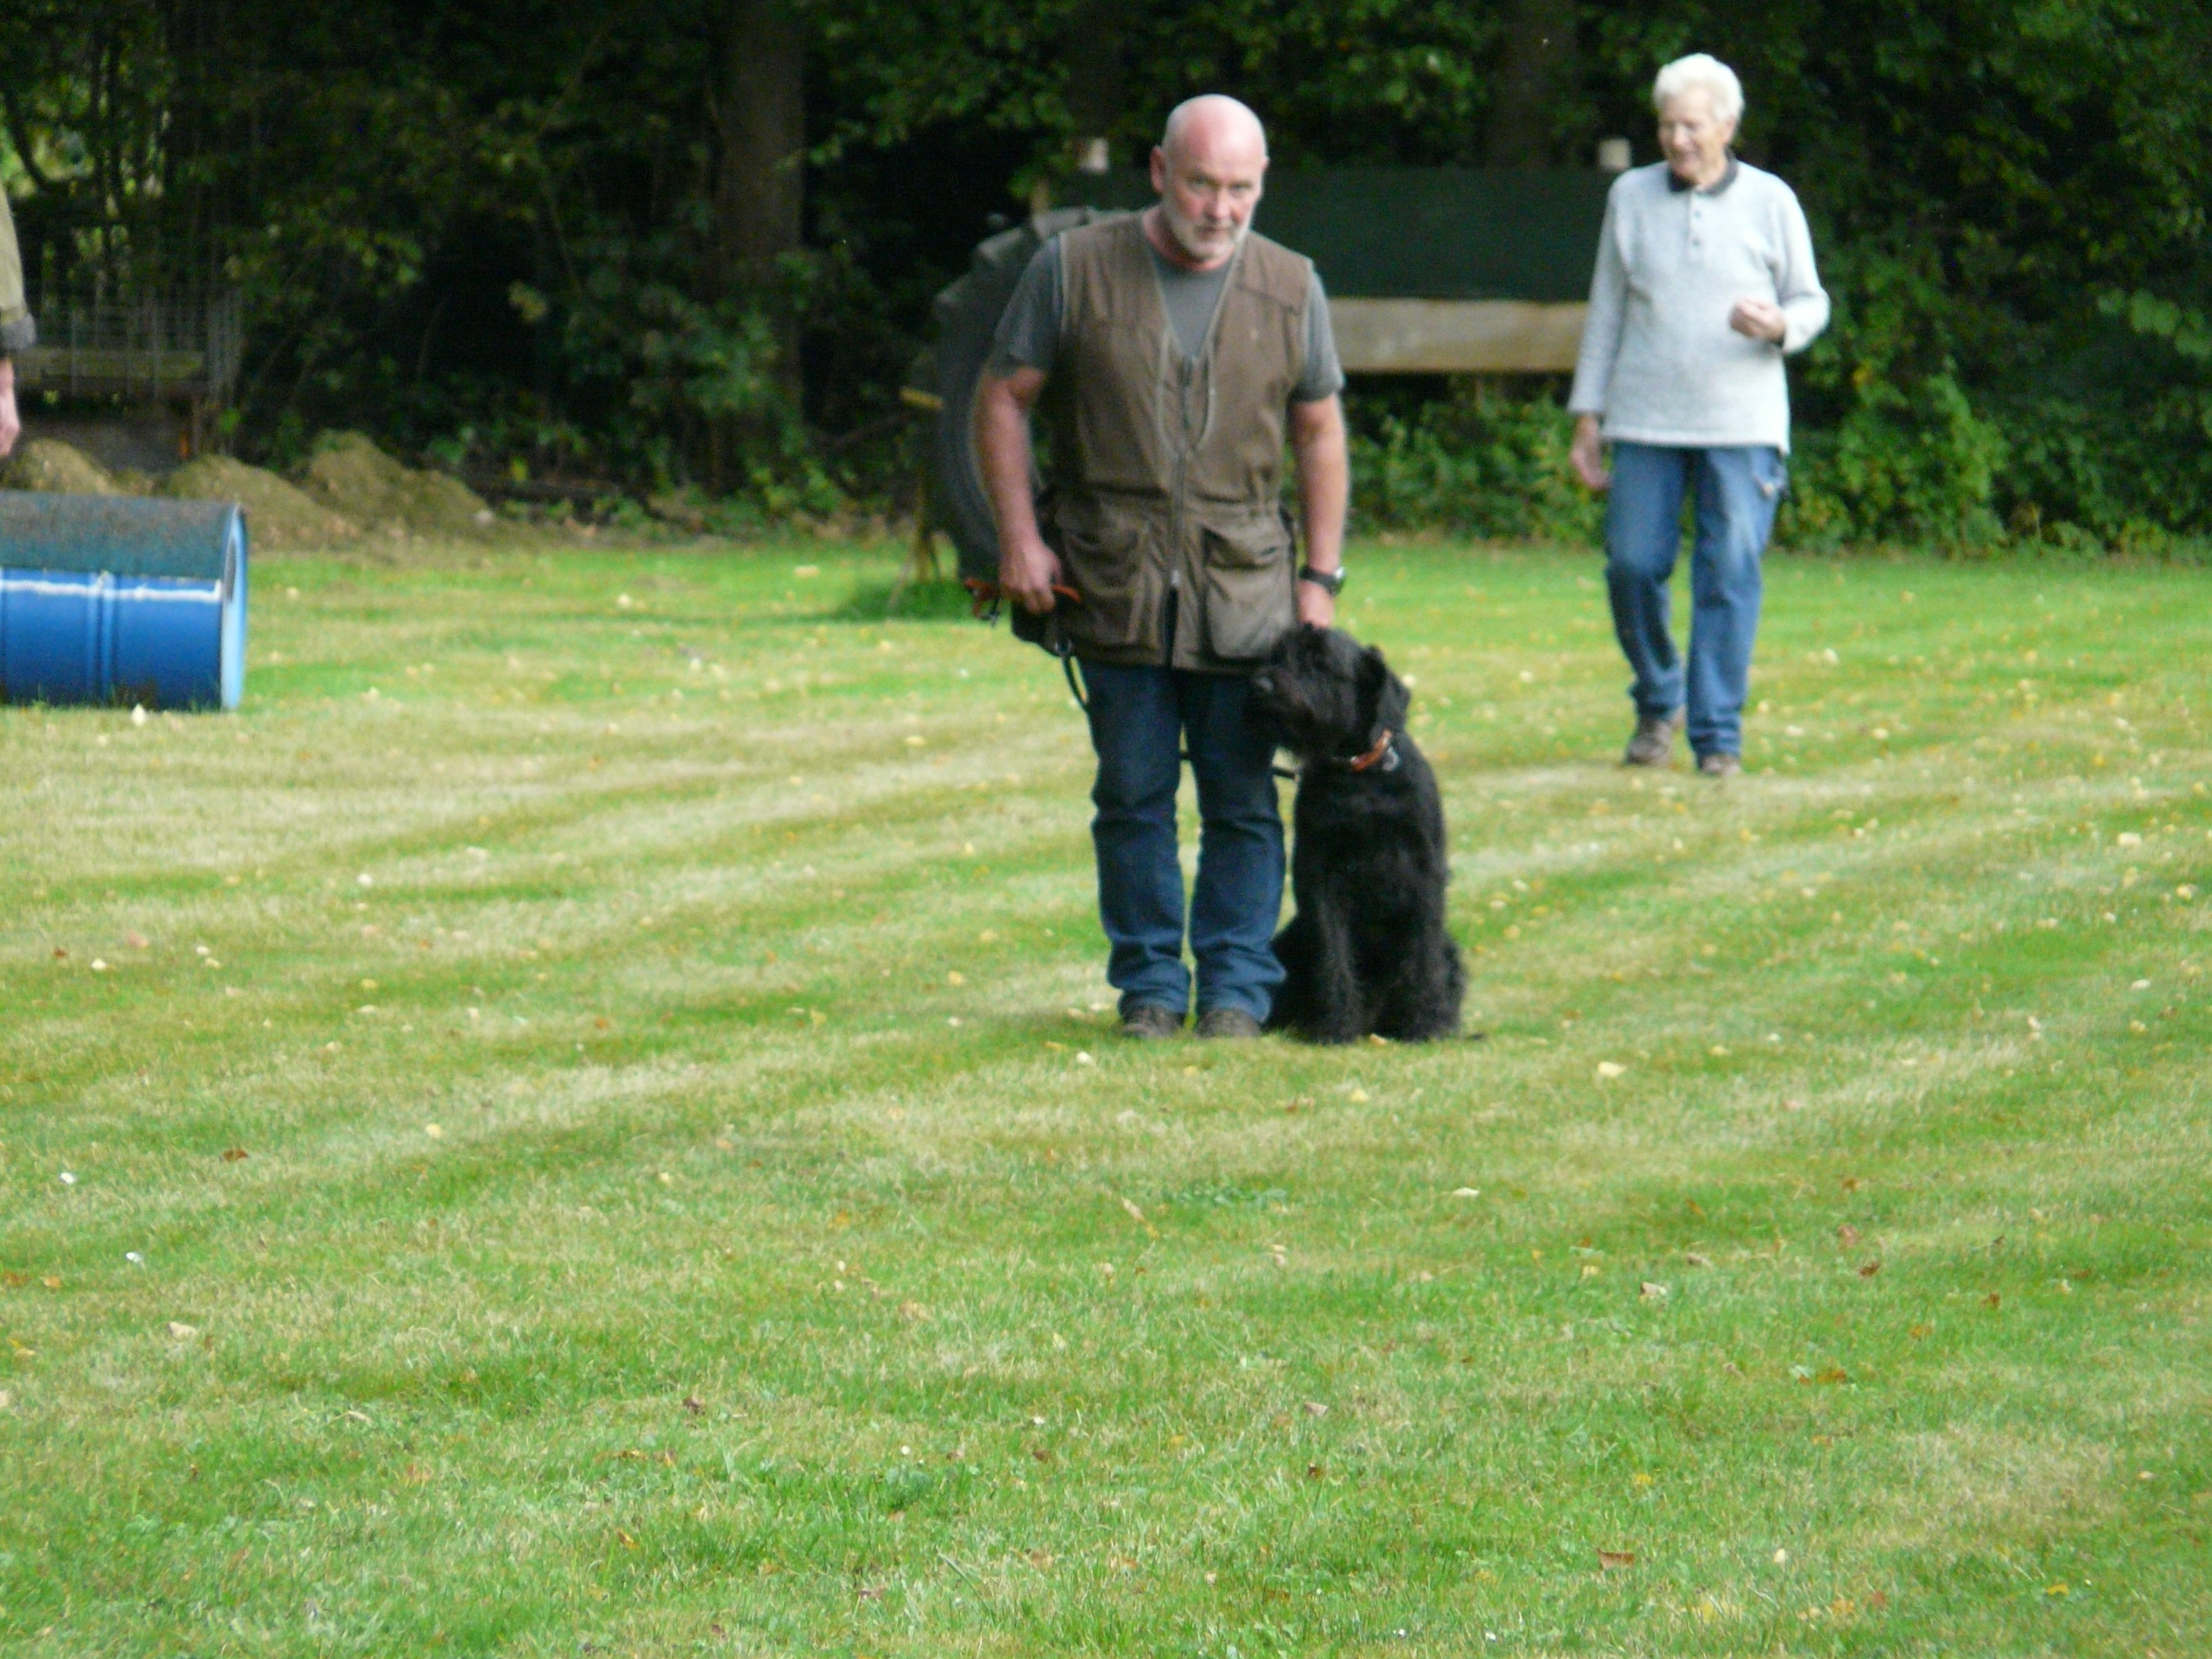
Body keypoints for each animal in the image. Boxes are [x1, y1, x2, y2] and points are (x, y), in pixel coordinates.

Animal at [1256, 628, 1460, 1044]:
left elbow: (1425, 953)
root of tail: (1375, 1024)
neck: (1359, 775)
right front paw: (1336, 1025)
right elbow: (1333, 952)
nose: (1261, 684)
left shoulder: (1424, 871)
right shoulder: (1319, 875)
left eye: (1319, 662)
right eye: (1277, 655)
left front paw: (1427, 1024)